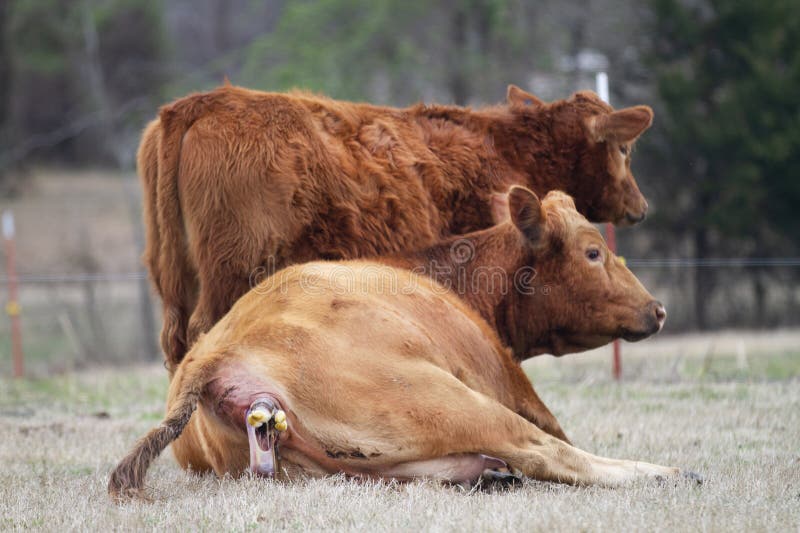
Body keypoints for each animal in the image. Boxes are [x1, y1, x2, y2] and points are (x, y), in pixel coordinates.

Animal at [142, 85, 656, 372]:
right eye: (624, 150)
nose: (641, 205)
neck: (503, 146)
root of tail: (201, 104)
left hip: (174, 286)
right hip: (229, 279)